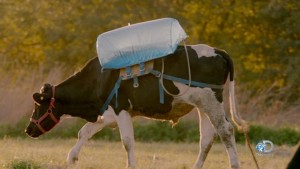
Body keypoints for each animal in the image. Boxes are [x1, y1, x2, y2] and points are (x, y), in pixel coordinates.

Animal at [25, 44, 247, 168]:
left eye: (37, 105)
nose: (28, 129)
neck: (98, 78)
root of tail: (218, 51)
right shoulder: (108, 112)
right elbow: (84, 131)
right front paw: (72, 158)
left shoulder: (120, 108)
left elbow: (127, 142)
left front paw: (130, 165)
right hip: (202, 105)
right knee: (207, 139)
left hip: (211, 100)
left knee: (226, 130)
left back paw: (235, 164)